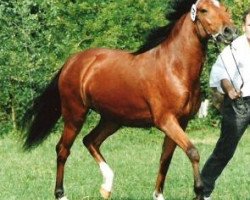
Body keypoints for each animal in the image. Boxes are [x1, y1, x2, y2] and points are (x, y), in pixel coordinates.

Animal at [21, 0, 234, 200]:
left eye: (224, 8)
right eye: (204, 10)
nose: (229, 31)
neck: (175, 68)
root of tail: (72, 61)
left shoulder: (181, 121)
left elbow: (166, 158)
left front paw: (159, 195)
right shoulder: (166, 120)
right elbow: (192, 152)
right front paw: (199, 191)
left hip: (112, 119)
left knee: (90, 141)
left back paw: (107, 186)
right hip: (75, 114)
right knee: (63, 149)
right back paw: (61, 194)